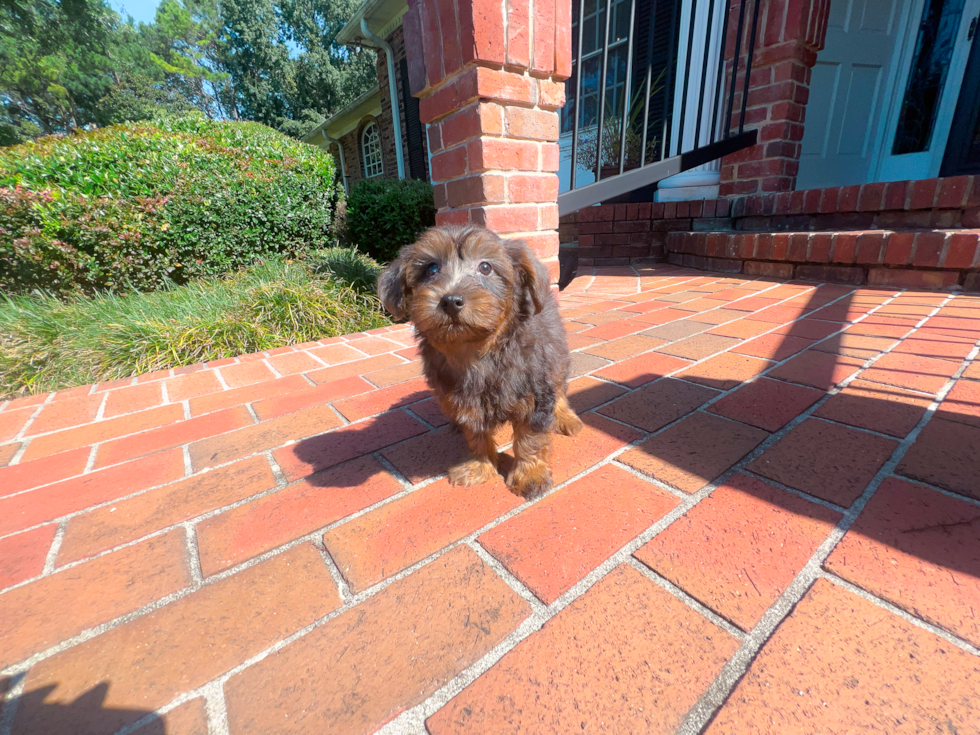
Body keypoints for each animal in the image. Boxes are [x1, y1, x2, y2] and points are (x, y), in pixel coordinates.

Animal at [378, 224, 580, 500]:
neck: (476, 349)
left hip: (555, 355)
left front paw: (530, 474)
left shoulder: (534, 390)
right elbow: (476, 434)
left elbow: (530, 437)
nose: (450, 300)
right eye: (431, 268)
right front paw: (478, 466)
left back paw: (566, 417)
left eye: (485, 267)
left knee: (559, 388)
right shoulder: (464, 400)